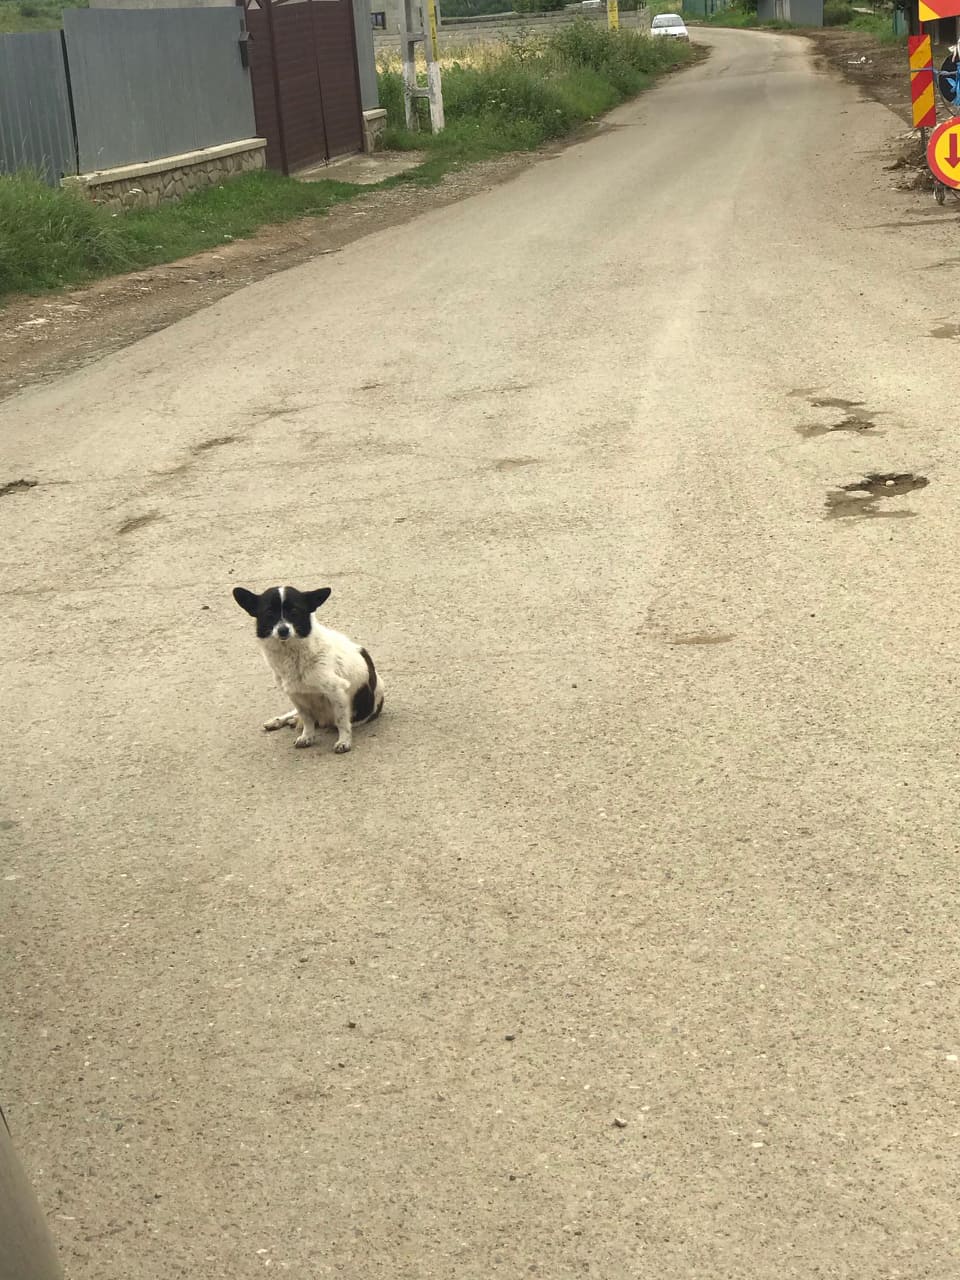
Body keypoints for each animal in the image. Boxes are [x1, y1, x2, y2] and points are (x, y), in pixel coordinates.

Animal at [231, 586, 384, 752]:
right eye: (269, 612)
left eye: (294, 611)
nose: (283, 630)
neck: (292, 653)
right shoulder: (296, 695)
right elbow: (307, 719)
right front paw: (307, 736)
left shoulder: (337, 692)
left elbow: (341, 721)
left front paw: (344, 741)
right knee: (295, 714)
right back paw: (280, 720)